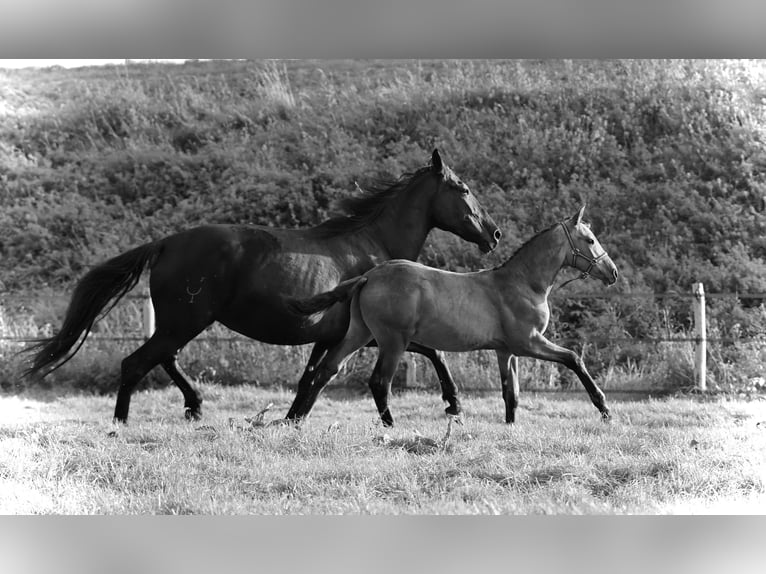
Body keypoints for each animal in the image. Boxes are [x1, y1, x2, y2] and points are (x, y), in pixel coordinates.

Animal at [24, 151, 500, 426]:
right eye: (462, 188)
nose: (493, 234)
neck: (373, 247)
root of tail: (165, 243)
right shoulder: (375, 334)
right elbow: (434, 352)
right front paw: (454, 403)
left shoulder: (331, 335)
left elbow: (312, 377)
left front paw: (290, 420)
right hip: (186, 320)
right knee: (136, 363)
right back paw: (122, 423)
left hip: (182, 322)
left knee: (164, 359)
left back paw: (195, 406)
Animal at [286, 207, 616, 428]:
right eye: (589, 240)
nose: (612, 272)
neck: (523, 284)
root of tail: (370, 275)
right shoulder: (529, 343)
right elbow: (574, 358)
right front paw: (604, 408)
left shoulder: (506, 351)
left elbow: (511, 393)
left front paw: (510, 427)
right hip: (392, 341)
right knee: (379, 382)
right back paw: (391, 426)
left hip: (360, 333)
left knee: (327, 369)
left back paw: (299, 420)